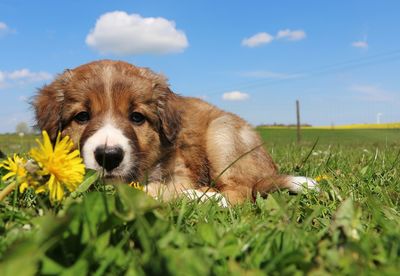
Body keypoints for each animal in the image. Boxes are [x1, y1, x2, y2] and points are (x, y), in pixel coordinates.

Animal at [33, 60, 316, 205]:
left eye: (137, 117)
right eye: (82, 116)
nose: (108, 156)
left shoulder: (181, 171)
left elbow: (153, 190)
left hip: (222, 133)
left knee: (243, 191)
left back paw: (204, 198)